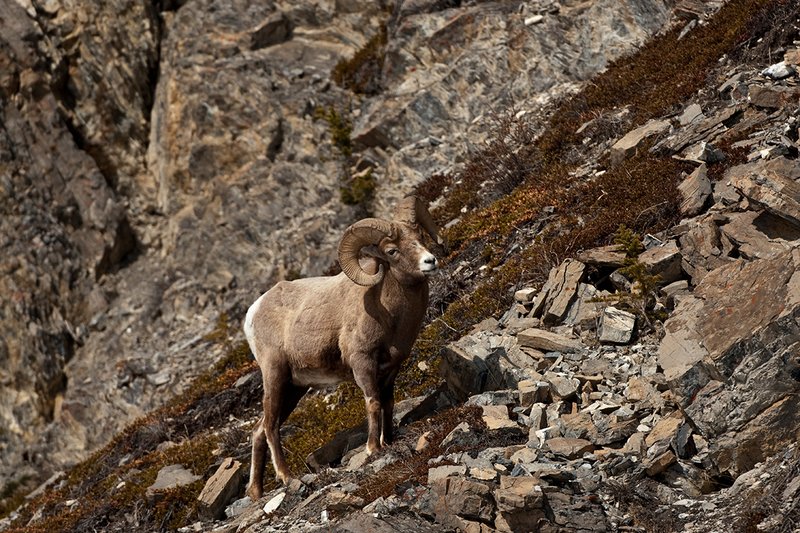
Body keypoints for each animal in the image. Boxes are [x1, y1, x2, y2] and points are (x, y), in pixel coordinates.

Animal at [243, 195, 445, 498]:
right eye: (392, 251)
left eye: (419, 236)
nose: (429, 261)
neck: (389, 313)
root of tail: (253, 313)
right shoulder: (363, 363)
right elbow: (373, 402)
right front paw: (373, 448)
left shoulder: (391, 368)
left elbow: (388, 402)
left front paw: (389, 441)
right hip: (275, 376)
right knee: (270, 427)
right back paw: (287, 477)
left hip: (294, 388)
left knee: (259, 430)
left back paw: (255, 492)